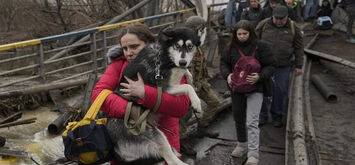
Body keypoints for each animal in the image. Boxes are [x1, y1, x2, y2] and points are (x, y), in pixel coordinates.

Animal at [107, 27, 203, 165]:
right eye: (177, 46)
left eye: (190, 47)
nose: (182, 62)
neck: (165, 55)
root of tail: (115, 150)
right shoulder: (163, 87)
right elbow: (187, 87)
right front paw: (196, 103)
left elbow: (186, 78)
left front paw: (189, 76)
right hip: (154, 135)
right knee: (171, 159)